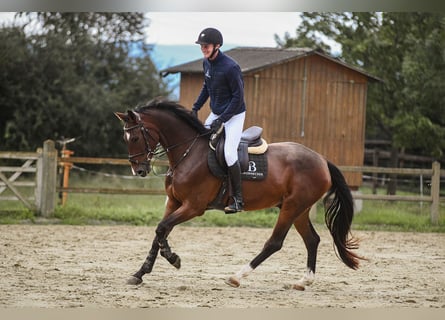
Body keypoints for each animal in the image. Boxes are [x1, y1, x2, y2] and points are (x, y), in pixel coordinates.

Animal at [113, 97, 360, 290]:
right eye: (125, 139)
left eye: (135, 138)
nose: (139, 171)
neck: (188, 152)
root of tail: (322, 160)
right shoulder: (173, 203)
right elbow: (159, 232)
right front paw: (140, 273)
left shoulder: (193, 207)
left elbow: (162, 229)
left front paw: (173, 259)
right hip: (299, 209)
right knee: (312, 240)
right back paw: (303, 281)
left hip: (292, 207)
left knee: (275, 243)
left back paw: (237, 276)